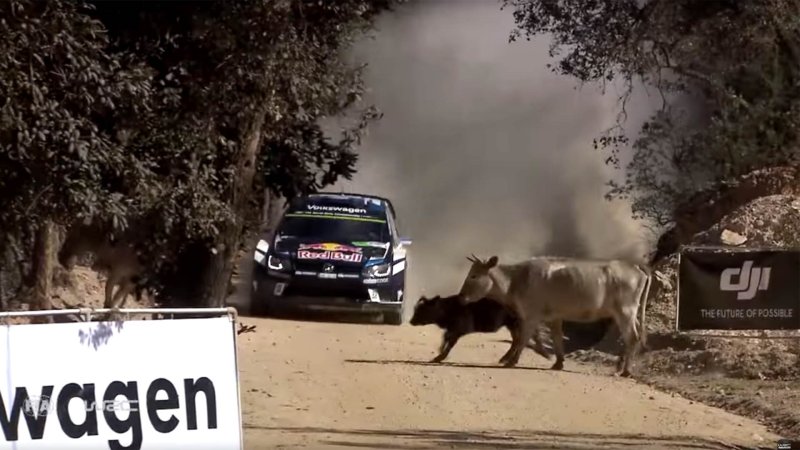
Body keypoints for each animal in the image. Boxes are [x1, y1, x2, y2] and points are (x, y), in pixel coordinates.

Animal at [456, 255, 648, 378]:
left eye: (473, 275)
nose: (460, 296)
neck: (516, 281)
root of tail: (635, 266)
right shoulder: (553, 316)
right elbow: (556, 338)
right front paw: (558, 363)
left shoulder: (531, 315)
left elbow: (523, 338)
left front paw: (512, 360)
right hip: (628, 313)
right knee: (632, 337)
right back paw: (621, 367)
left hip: (625, 311)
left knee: (632, 337)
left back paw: (625, 371)